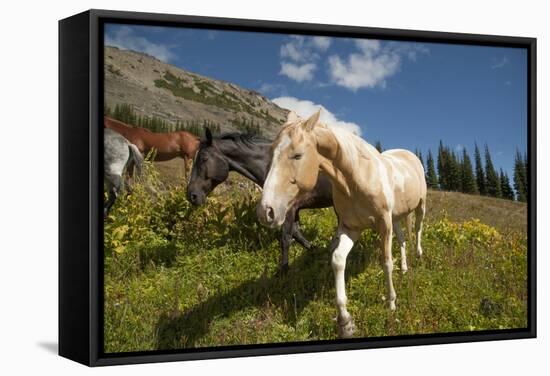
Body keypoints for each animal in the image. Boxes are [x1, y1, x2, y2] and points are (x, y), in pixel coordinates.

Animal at [185, 128, 334, 272]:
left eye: (204, 158)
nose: (191, 195)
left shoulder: (288, 209)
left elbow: (286, 238)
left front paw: (283, 271)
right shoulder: (293, 209)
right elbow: (296, 234)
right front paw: (314, 249)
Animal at [256, 111, 430, 338]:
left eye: (297, 155)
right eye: (271, 152)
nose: (266, 212)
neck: (357, 178)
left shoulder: (384, 225)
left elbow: (386, 262)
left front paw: (391, 303)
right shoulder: (351, 228)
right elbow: (338, 260)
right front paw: (345, 322)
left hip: (420, 206)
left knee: (417, 229)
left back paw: (418, 256)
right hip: (397, 217)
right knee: (401, 239)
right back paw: (405, 268)